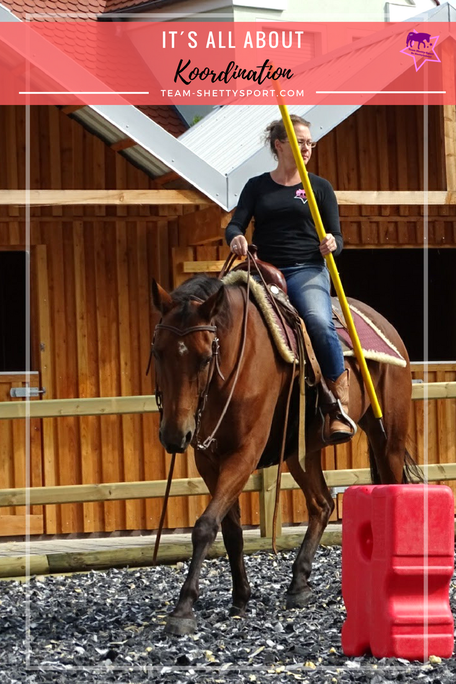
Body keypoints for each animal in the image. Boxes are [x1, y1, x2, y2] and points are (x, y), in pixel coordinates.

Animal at [151, 274, 418, 636]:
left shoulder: (244, 453)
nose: (175, 435)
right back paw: (299, 583)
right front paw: (240, 597)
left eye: (206, 357)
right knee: (322, 504)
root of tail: (387, 328)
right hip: (302, 453)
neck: (235, 358)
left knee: (389, 487)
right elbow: (230, 530)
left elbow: (205, 525)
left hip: (387, 437)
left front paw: (183, 608)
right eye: (158, 352)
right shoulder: (209, 459)